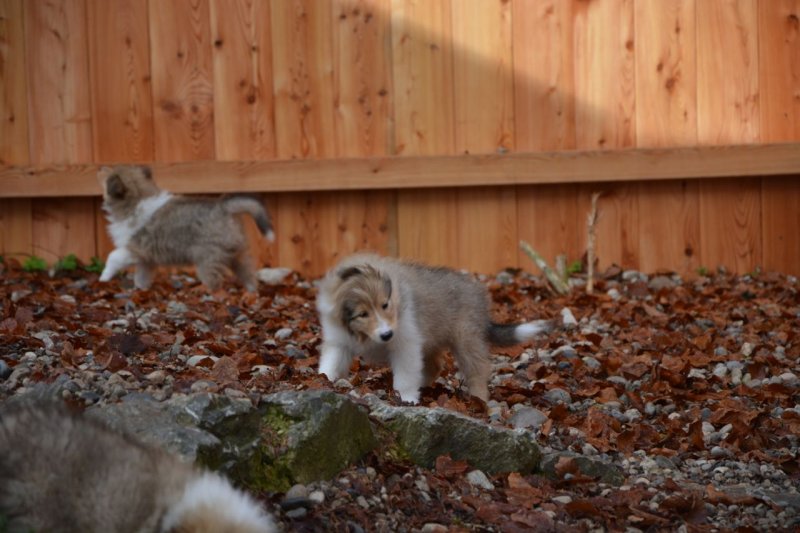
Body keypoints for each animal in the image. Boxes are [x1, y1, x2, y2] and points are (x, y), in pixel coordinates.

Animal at [98, 165, 274, 291]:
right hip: (238, 254)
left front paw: (103, 278)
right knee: (249, 276)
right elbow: (141, 275)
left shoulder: (134, 248)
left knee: (215, 283)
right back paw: (251, 294)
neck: (138, 199)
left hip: (207, 259)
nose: (100, 167)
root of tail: (224, 207)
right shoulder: (146, 259)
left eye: (107, 179)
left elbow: (112, 257)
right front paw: (141, 290)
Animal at [316, 253, 553, 403]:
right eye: (363, 314)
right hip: (431, 339)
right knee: (435, 366)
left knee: (477, 370)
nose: (387, 334)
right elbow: (331, 363)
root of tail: (478, 292)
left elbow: (405, 376)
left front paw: (407, 398)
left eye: (385, 304)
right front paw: (322, 381)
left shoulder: (406, 343)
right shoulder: (339, 342)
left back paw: (479, 401)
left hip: (466, 339)